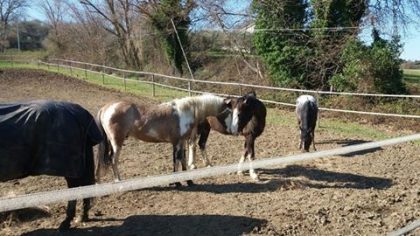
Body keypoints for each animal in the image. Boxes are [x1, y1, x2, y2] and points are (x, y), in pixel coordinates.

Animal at [95, 93, 231, 185]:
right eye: (229, 110)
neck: (185, 112)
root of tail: (106, 108)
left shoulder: (180, 142)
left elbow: (181, 160)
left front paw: (188, 181)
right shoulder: (177, 142)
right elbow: (177, 160)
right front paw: (177, 182)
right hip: (117, 142)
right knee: (113, 160)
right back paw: (118, 180)